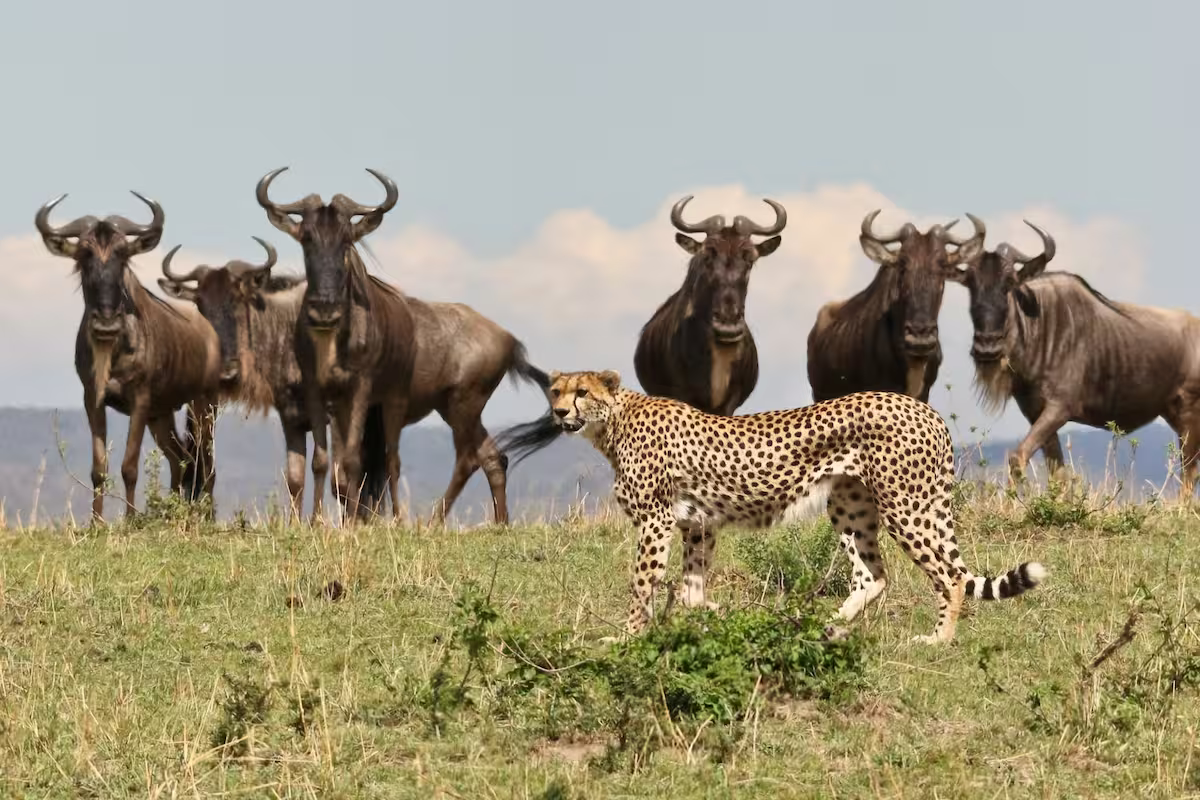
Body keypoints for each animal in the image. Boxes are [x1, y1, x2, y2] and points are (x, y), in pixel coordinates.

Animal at [498, 368, 1047, 644]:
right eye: (555, 390)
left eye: (581, 392)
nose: (559, 412)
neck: (612, 421)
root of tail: (922, 407)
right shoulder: (699, 525)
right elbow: (691, 590)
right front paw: (713, 615)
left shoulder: (656, 521)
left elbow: (642, 584)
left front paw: (628, 637)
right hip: (850, 507)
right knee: (873, 575)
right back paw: (827, 626)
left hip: (906, 503)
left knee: (949, 575)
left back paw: (937, 639)